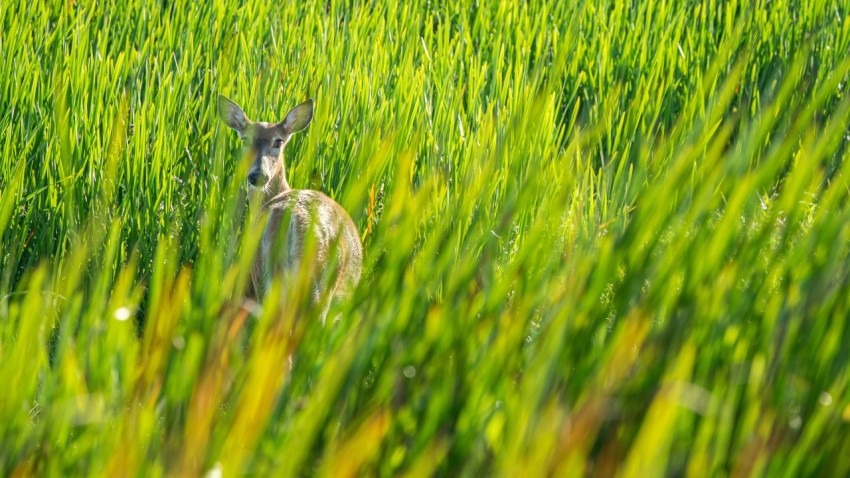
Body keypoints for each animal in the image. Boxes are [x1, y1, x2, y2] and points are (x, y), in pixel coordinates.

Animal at [217, 95, 360, 324]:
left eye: (278, 141)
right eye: (245, 139)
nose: (257, 175)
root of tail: (288, 217)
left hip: (261, 276)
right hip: (316, 285)